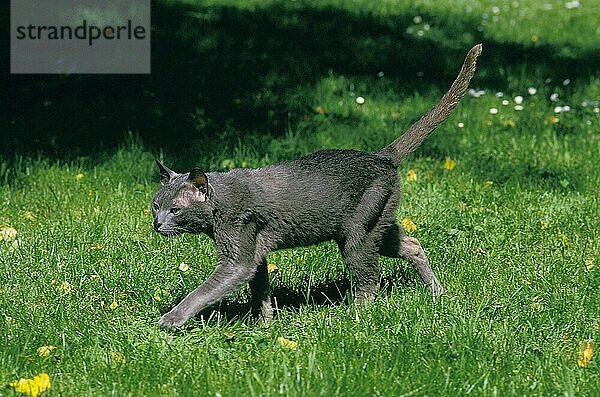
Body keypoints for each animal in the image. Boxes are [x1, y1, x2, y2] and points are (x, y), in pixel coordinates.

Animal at [152, 43, 480, 328]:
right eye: (155, 206)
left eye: (175, 210)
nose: (156, 223)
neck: (218, 209)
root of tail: (381, 156)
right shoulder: (255, 254)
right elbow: (261, 291)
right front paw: (264, 325)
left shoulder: (238, 256)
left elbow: (205, 291)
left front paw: (171, 319)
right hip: (378, 224)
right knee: (412, 244)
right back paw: (437, 293)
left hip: (358, 232)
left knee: (370, 280)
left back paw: (354, 316)